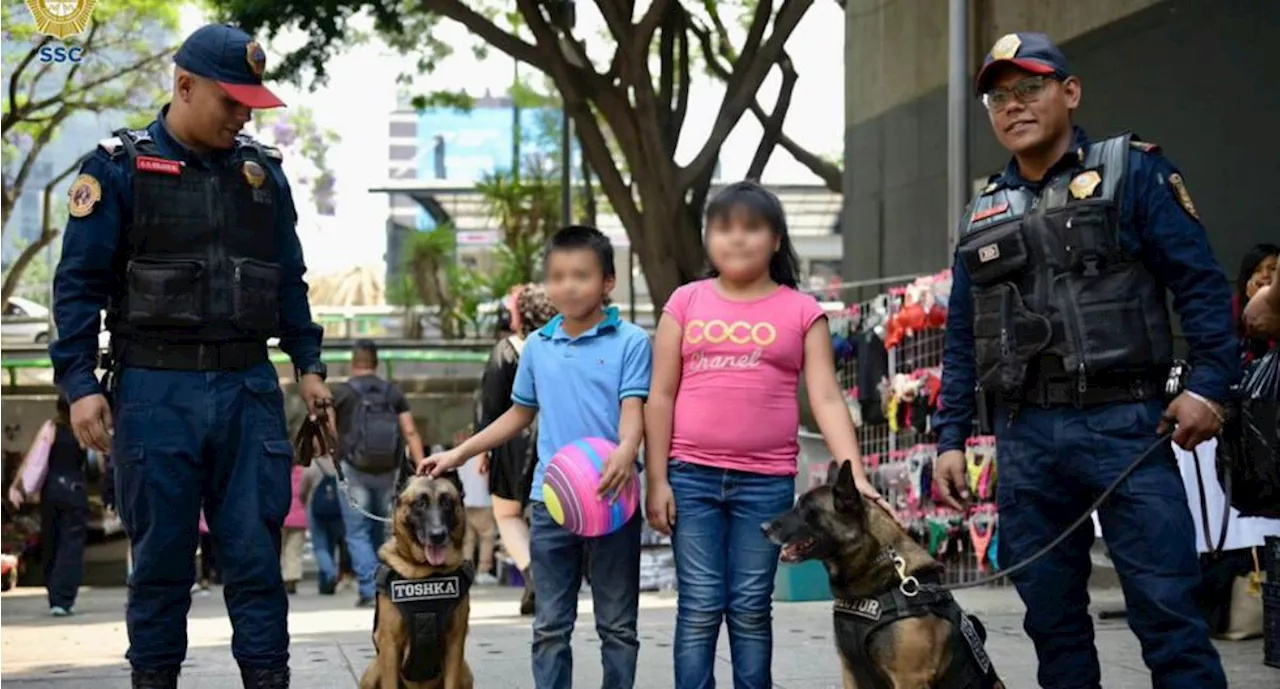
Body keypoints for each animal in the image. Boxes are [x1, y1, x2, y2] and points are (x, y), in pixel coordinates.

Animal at [360, 471, 476, 686]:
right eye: (419, 503)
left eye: (447, 502)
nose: (438, 535)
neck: (425, 572)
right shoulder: (389, 646)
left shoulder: (455, 643)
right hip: (373, 669)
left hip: (465, 672)